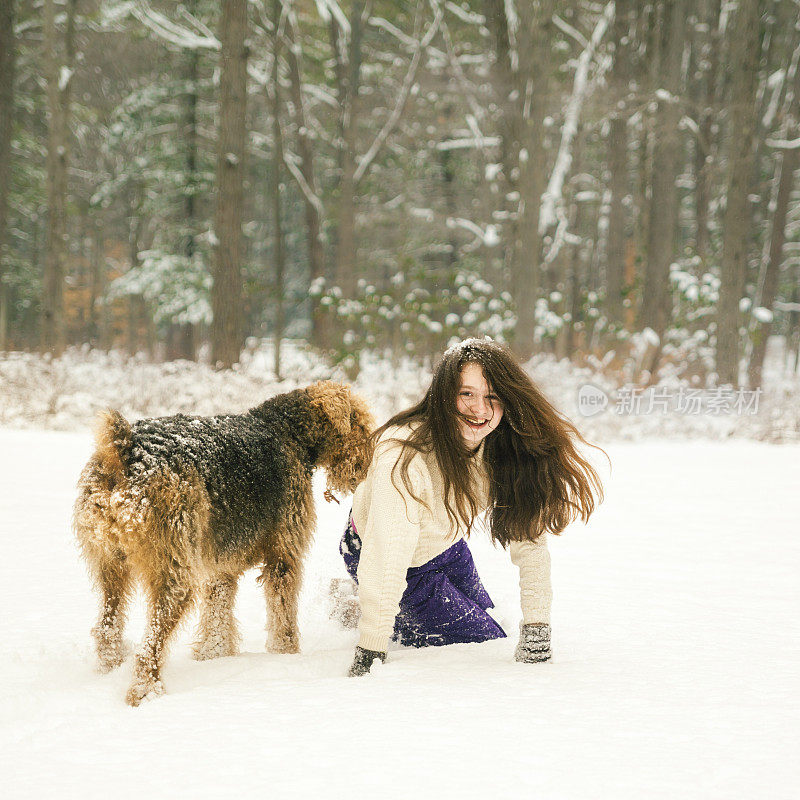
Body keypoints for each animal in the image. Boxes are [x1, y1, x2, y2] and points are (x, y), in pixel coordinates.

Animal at [73, 382, 374, 708]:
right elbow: (282, 615)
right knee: (149, 646)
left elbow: (218, 618)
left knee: (107, 628)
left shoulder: (221, 569)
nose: (367, 464)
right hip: (176, 574)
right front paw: (286, 655)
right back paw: (146, 691)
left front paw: (214, 657)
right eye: (359, 423)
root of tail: (125, 451)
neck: (289, 429)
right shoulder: (284, 555)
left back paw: (110, 670)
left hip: (111, 566)